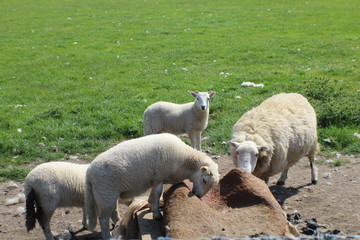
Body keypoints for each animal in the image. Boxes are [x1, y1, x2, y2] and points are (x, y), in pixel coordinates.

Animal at [84, 133, 219, 240]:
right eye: (204, 180)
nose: (198, 195)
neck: (183, 160)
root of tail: (88, 174)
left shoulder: (156, 179)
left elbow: (153, 195)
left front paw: (150, 207)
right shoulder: (159, 176)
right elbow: (158, 193)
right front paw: (156, 213)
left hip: (109, 195)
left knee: (113, 212)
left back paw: (118, 226)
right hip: (105, 194)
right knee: (103, 219)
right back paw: (107, 236)